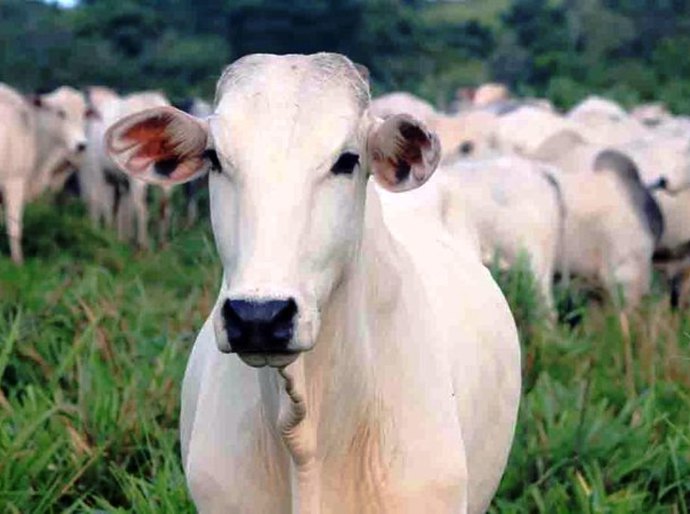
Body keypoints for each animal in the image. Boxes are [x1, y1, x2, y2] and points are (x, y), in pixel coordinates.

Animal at [0, 83, 88, 263]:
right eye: (61, 112)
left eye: (84, 113)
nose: (81, 145)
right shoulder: (14, 181)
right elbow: (14, 227)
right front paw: (18, 262)